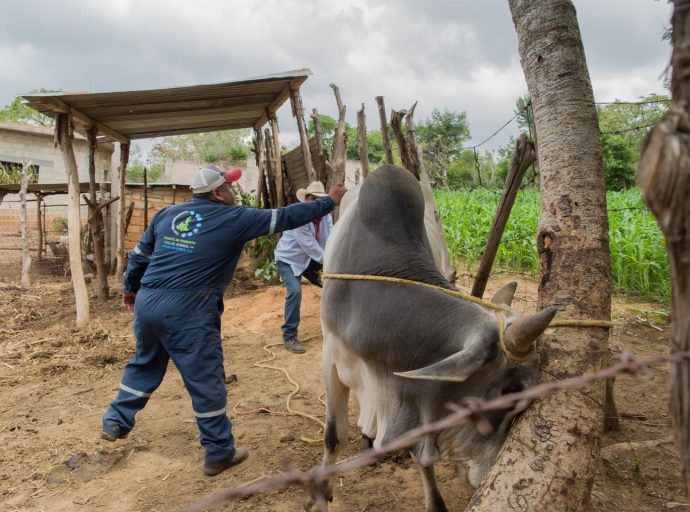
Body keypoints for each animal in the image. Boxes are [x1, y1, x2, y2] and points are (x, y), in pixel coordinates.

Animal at [318, 165, 552, 512]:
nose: (489, 473)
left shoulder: (415, 396)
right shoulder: (330, 358)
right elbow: (334, 436)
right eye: (508, 393)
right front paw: (321, 496)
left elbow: (421, 455)